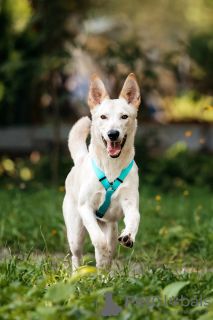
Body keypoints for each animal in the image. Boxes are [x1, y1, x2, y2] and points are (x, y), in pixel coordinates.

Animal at [62, 73, 141, 270]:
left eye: (124, 116)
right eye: (103, 117)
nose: (113, 134)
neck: (111, 166)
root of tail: (80, 160)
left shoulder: (130, 203)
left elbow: (134, 219)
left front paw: (128, 235)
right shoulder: (86, 209)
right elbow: (98, 240)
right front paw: (101, 252)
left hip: (111, 228)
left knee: (110, 250)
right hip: (76, 232)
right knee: (77, 255)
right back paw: (78, 273)